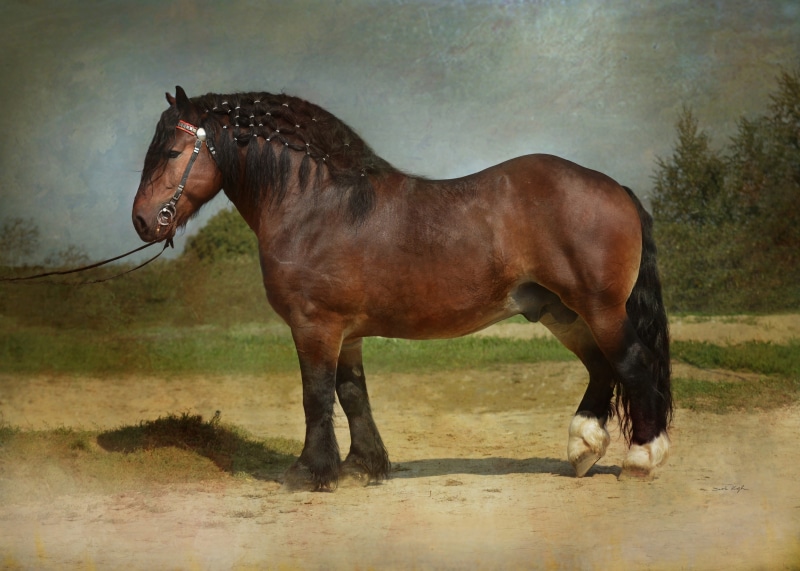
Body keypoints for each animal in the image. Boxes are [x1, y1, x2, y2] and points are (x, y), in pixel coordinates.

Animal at [132, 86, 672, 491]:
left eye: (173, 151)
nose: (142, 220)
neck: (317, 204)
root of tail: (616, 188)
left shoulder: (315, 325)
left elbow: (316, 395)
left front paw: (310, 472)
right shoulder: (346, 333)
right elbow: (352, 394)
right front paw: (361, 466)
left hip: (599, 308)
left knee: (631, 363)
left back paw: (642, 458)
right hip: (563, 312)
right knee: (601, 368)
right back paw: (583, 449)